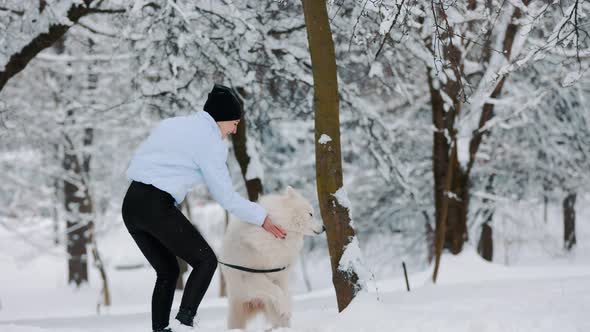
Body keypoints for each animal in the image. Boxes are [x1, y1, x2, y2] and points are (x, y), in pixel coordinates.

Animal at [220, 187, 326, 330]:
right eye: (310, 214)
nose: (324, 228)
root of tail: (256, 303)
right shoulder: (251, 275)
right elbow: (276, 291)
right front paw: (286, 309)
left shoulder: (280, 275)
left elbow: (282, 292)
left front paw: (286, 310)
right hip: (237, 309)